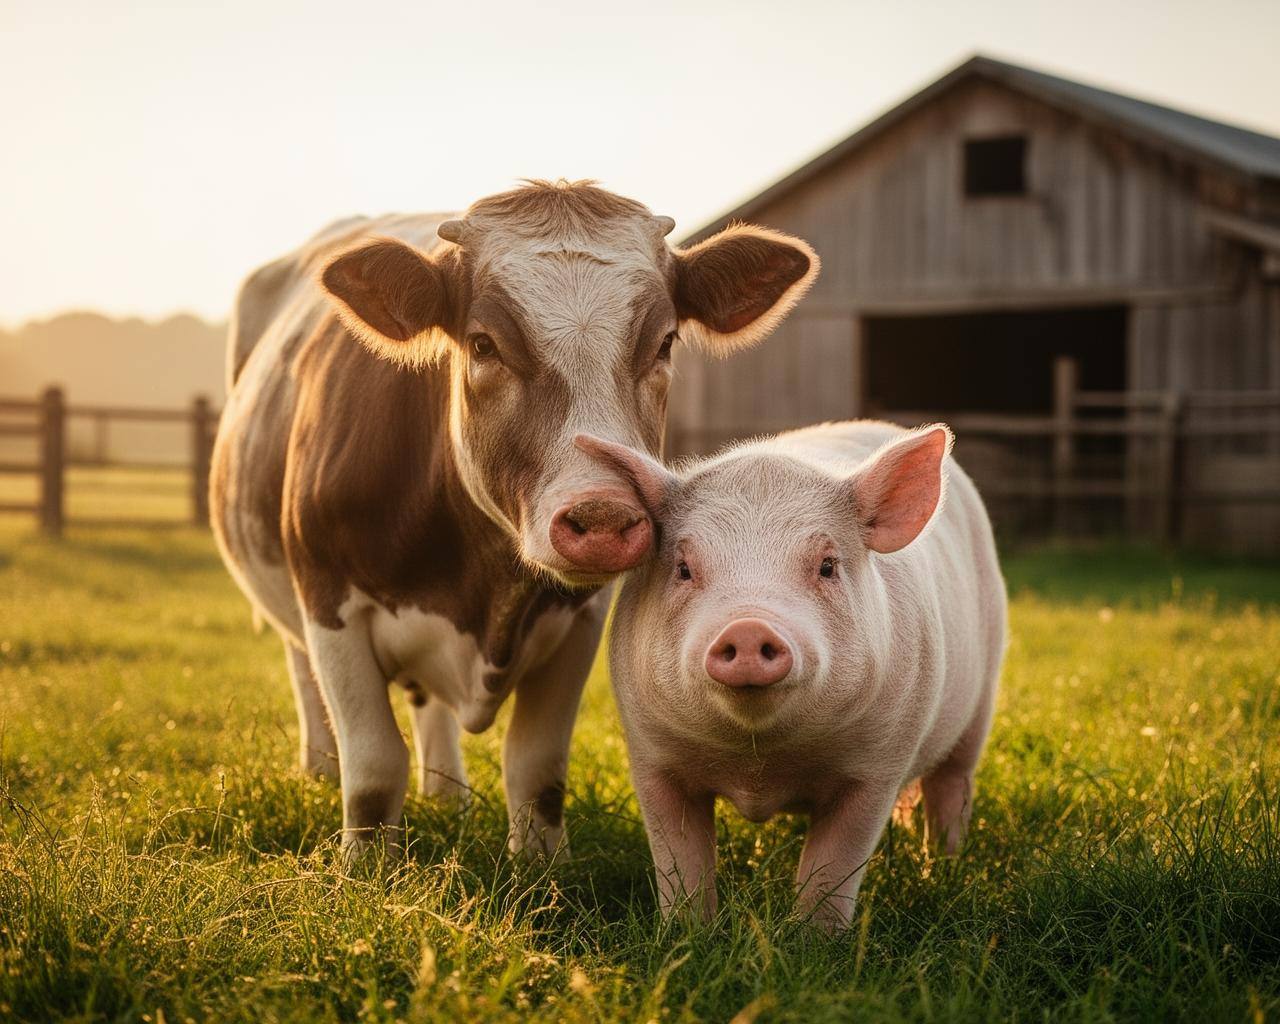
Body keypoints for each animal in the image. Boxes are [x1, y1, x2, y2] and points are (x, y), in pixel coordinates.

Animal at [210, 180, 819, 860]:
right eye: (483, 344)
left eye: (663, 343)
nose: (602, 517)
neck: (486, 585)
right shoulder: (328, 599)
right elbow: (372, 767)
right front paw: (364, 869)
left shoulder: (582, 617)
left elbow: (536, 765)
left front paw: (542, 867)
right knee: (306, 680)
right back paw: (318, 770)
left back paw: (447, 794)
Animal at [578, 420, 1007, 929]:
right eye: (683, 568)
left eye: (827, 566)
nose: (747, 627)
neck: (760, 764)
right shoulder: (651, 756)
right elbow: (679, 860)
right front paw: (687, 932)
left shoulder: (877, 767)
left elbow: (835, 865)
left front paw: (813, 939)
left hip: (979, 708)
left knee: (951, 787)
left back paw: (942, 870)